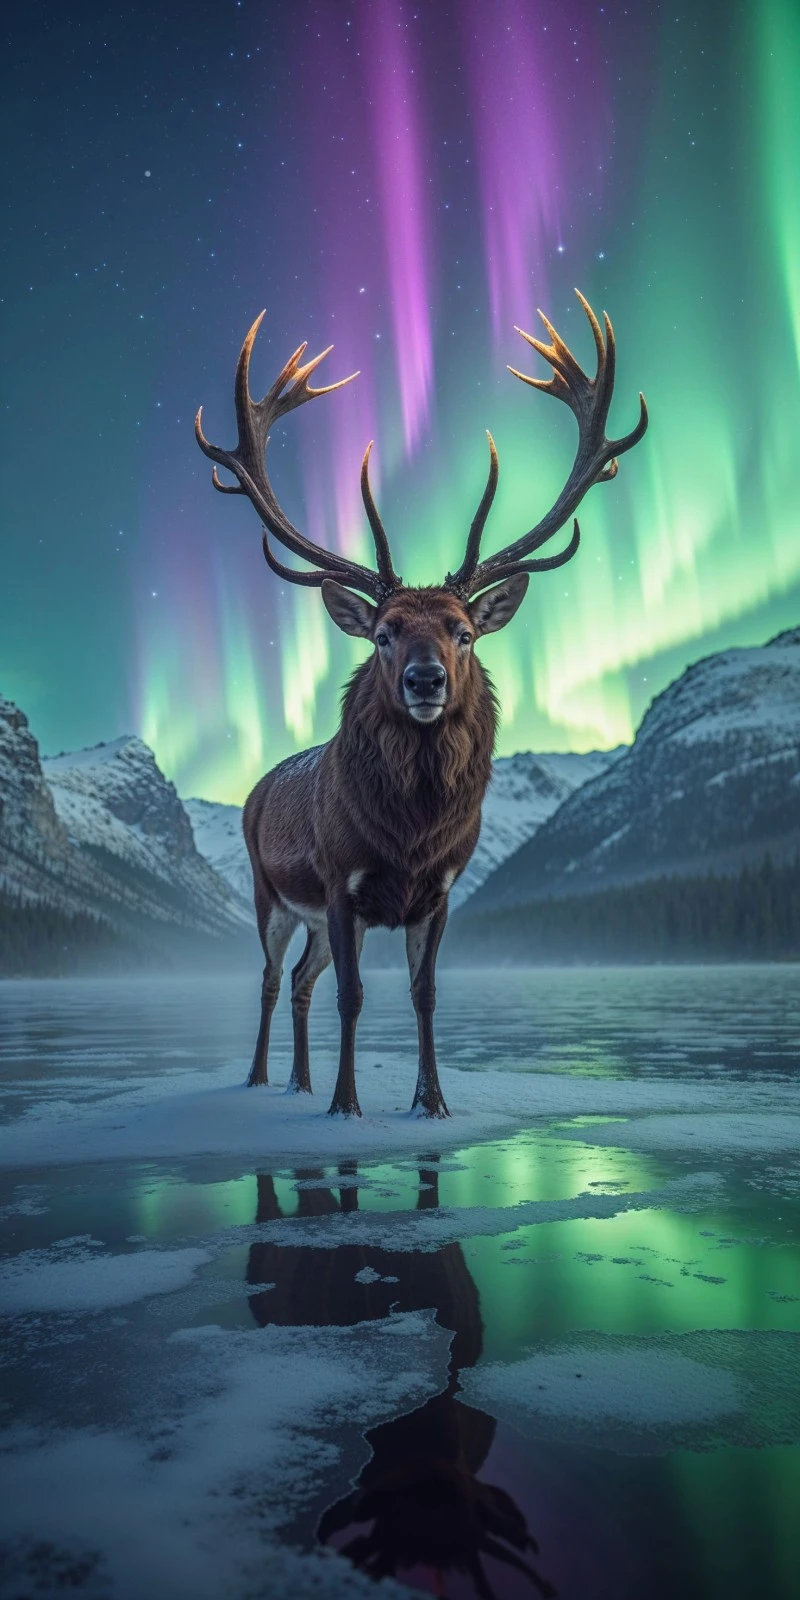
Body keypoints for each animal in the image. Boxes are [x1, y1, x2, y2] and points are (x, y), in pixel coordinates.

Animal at [195, 289, 647, 1118]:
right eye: (383, 633)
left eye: (465, 632)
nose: (426, 680)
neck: (410, 832)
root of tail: (256, 788)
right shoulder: (340, 883)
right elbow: (352, 996)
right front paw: (347, 1106)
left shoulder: (437, 895)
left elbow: (424, 994)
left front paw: (430, 1102)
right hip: (271, 894)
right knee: (275, 980)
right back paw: (263, 1079)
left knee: (301, 981)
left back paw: (301, 1080)